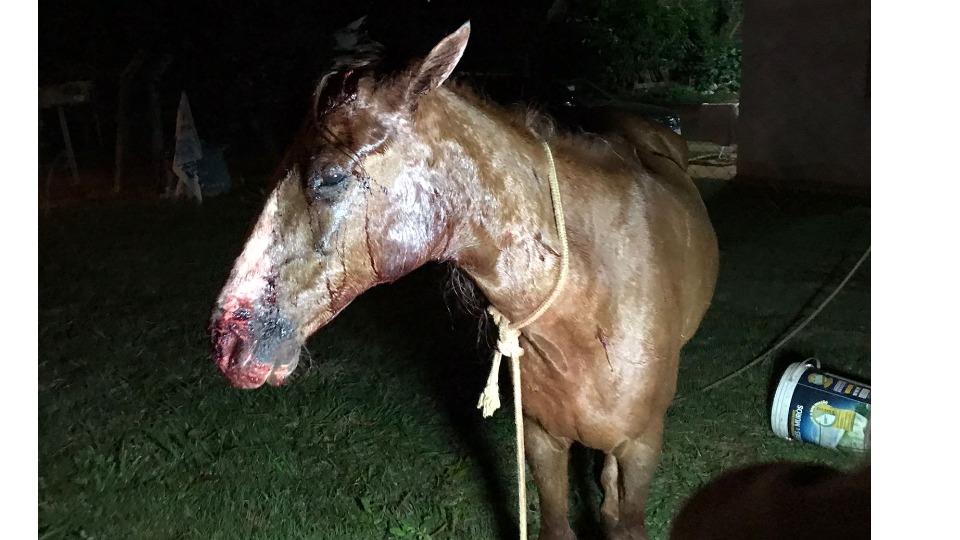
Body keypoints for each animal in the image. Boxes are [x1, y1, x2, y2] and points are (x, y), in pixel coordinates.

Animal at [212, 22, 720, 540]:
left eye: (329, 177)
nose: (229, 342)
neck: (592, 302)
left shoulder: (640, 449)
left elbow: (623, 512)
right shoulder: (542, 442)